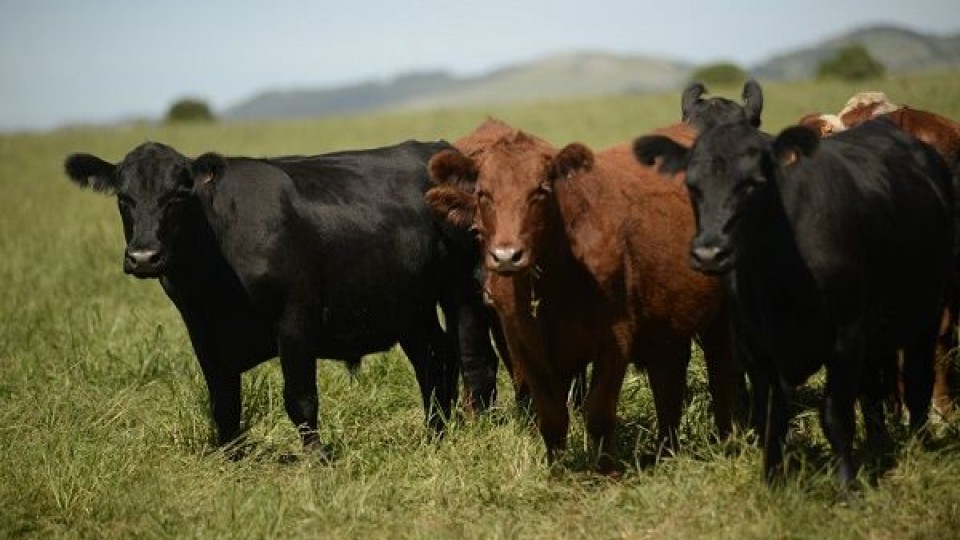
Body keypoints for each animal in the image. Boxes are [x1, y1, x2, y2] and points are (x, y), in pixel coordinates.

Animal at [65, 141, 502, 454]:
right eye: (124, 198)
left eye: (177, 195)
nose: (144, 256)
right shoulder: (202, 331)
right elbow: (224, 403)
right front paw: (230, 458)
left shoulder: (294, 321)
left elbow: (300, 399)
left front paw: (316, 458)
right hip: (409, 305)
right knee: (434, 360)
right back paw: (435, 435)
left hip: (463, 290)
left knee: (475, 361)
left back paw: (481, 433)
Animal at [426, 119, 736, 472]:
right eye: (482, 194)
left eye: (541, 191)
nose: (507, 256)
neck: (557, 281)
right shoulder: (525, 345)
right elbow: (551, 416)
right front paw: (558, 473)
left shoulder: (616, 336)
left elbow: (598, 412)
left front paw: (606, 473)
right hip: (668, 323)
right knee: (668, 382)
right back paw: (665, 453)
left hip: (720, 317)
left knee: (721, 374)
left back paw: (726, 443)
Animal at [632, 118, 956, 486]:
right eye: (692, 184)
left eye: (753, 184)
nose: (709, 254)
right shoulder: (756, 349)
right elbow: (771, 419)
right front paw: (772, 482)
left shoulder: (847, 337)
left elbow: (835, 415)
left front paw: (846, 485)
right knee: (873, 391)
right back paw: (878, 445)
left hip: (928, 313)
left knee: (918, 381)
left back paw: (919, 445)